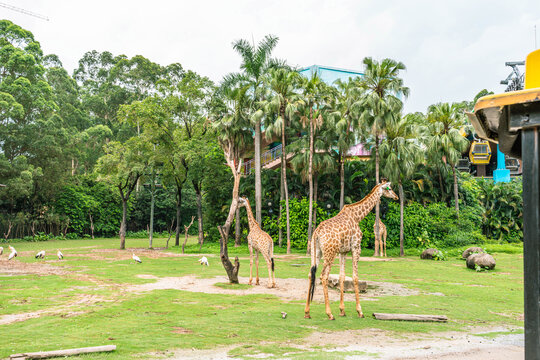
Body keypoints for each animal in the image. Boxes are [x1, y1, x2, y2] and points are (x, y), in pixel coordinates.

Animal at [306, 181, 398, 320]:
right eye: (390, 188)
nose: (396, 197)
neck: (357, 216)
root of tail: (317, 233)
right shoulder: (356, 247)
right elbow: (355, 277)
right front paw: (359, 311)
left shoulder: (343, 251)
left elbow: (342, 276)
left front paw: (342, 310)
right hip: (330, 253)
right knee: (323, 276)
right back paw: (329, 313)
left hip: (316, 252)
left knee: (311, 274)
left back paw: (307, 312)